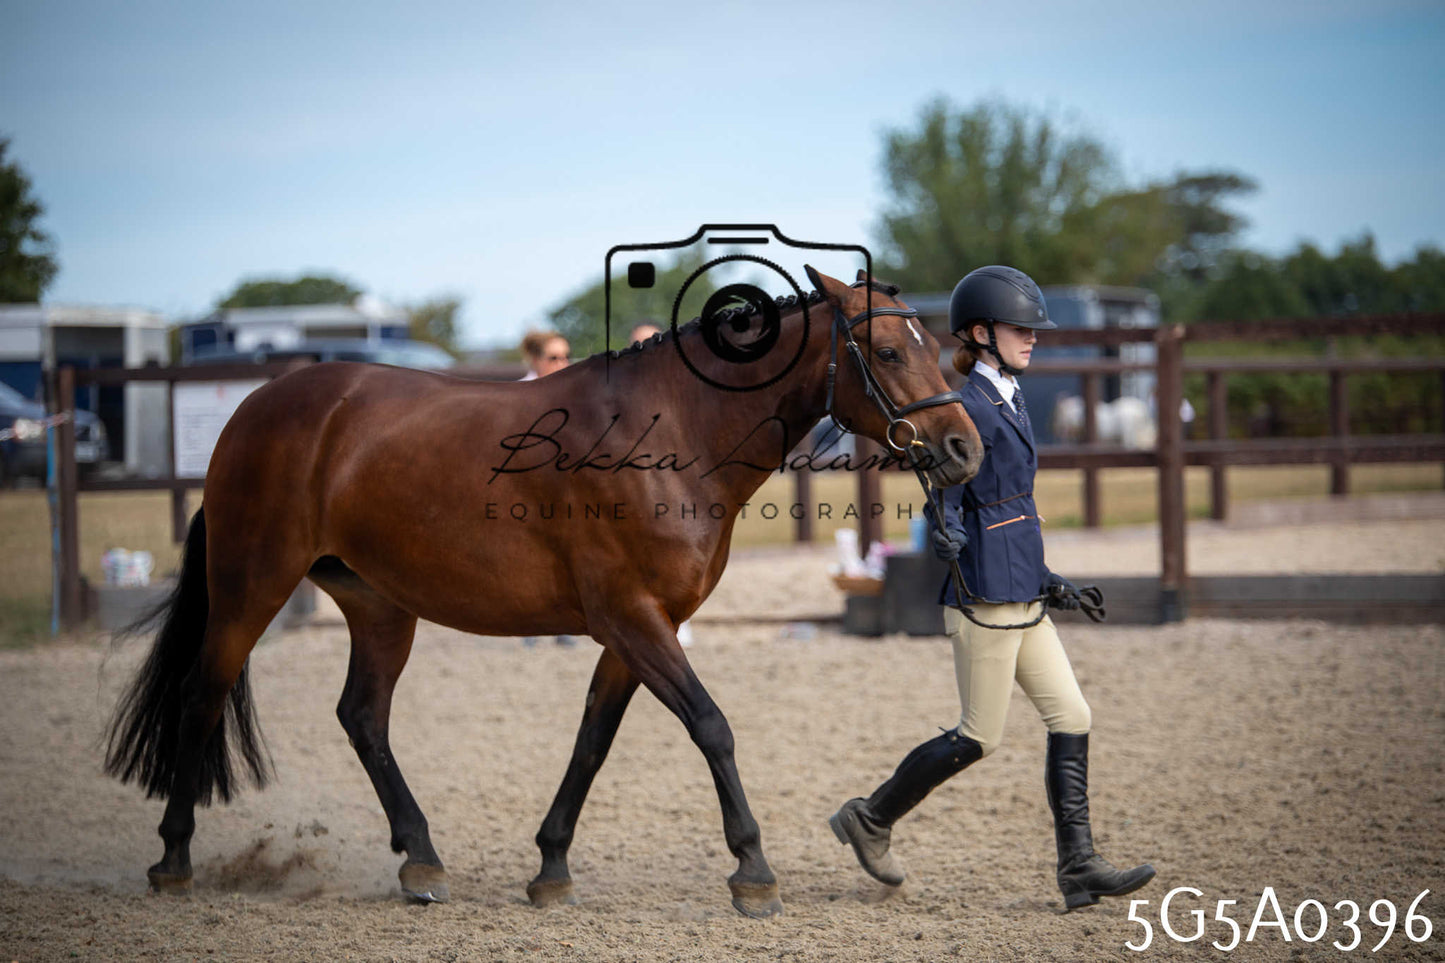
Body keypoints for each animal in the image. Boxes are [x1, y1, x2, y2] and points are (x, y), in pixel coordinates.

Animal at [104, 267, 984, 917]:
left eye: (932, 344)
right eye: (886, 349)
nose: (962, 449)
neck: (672, 433)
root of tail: (255, 409)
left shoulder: (636, 629)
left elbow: (591, 742)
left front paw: (551, 866)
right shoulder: (633, 619)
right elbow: (712, 726)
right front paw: (753, 870)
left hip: (379, 604)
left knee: (362, 716)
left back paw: (421, 859)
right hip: (250, 586)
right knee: (202, 693)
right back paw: (174, 856)